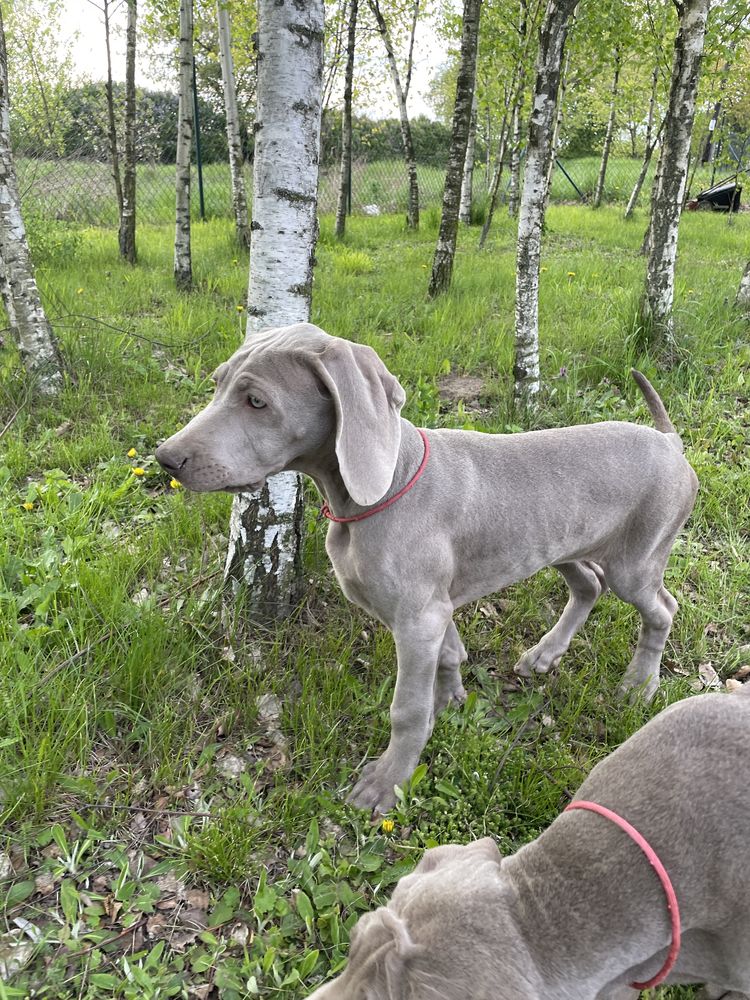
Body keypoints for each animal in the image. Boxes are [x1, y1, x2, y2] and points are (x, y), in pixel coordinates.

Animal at [157, 324, 700, 816]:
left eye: (256, 401)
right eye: (217, 384)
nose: (165, 458)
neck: (383, 488)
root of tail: (670, 440)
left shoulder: (418, 618)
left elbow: (407, 708)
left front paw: (388, 781)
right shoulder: (435, 608)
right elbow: (448, 654)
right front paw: (451, 698)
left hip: (637, 560)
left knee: (662, 609)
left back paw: (639, 685)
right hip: (563, 545)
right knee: (588, 584)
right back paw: (545, 654)